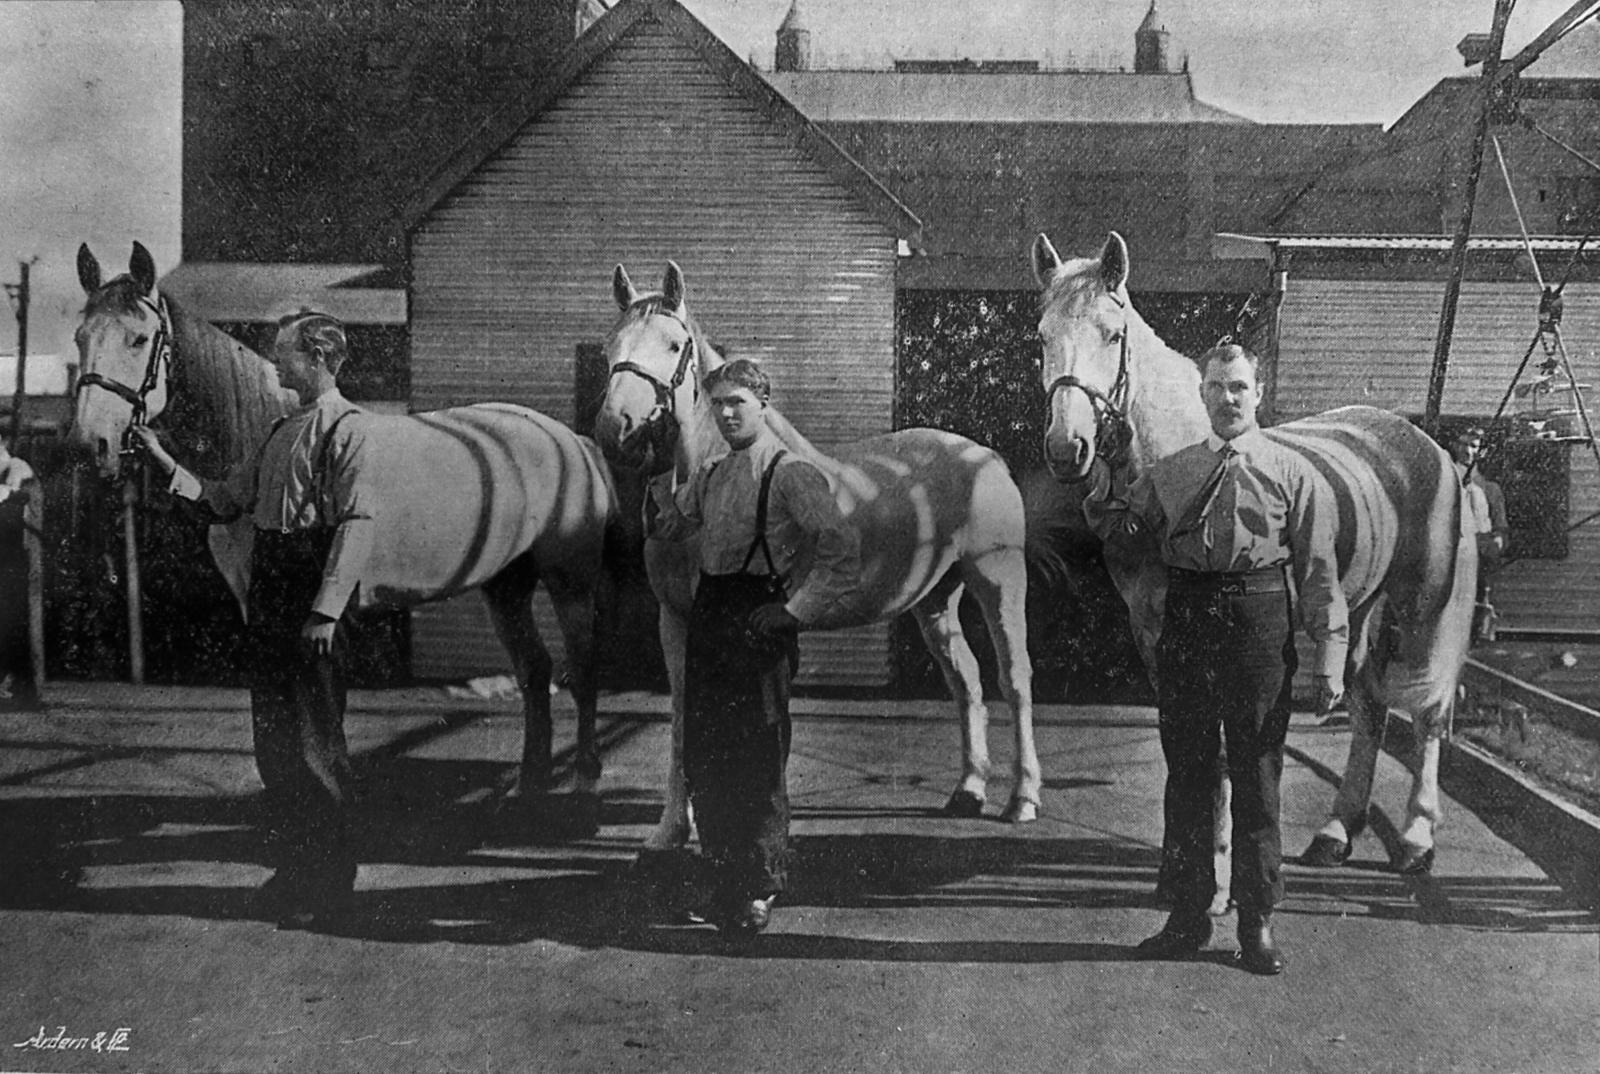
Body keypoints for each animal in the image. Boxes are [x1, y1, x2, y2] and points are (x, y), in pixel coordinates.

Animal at [76, 243, 624, 816]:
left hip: (569, 583)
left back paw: (583, 780)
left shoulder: (324, 605)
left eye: (139, 338)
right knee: (535, 672)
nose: (92, 444)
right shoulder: (255, 602)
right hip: (506, 585)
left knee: (582, 671)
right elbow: (272, 700)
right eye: (80, 337)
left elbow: (319, 702)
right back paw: (528, 785)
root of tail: (571, 440)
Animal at [595, 260, 1043, 851]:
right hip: (935, 599)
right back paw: (967, 792)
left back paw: (1022, 799)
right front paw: (670, 831)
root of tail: (984, 455)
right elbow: (682, 717)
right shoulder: (676, 621)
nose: (615, 429)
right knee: (965, 680)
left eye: (673, 345)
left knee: (1014, 678)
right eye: (609, 346)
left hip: (998, 582)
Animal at [1036, 233, 1472, 870]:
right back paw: (1335, 831)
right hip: (1358, 608)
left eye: (1112, 335)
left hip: (1423, 605)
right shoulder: (1152, 629)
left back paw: (1416, 837)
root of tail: (1425, 446)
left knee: (1429, 711)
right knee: (1369, 707)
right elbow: (1187, 740)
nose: (1067, 449)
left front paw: (1218, 860)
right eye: (1042, 335)